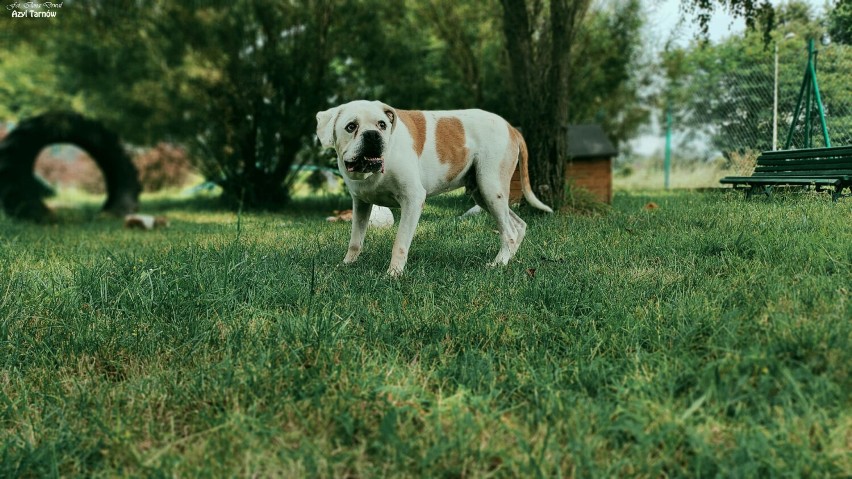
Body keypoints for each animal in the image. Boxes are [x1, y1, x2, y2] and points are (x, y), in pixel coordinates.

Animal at [314, 99, 552, 276]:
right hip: (484, 195)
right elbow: (355, 241)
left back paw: (497, 264)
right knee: (518, 226)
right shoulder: (361, 205)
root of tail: (511, 128)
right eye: (351, 126)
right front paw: (346, 264)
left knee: (509, 232)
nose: (373, 135)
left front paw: (393, 274)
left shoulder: (412, 200)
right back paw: (508, 259)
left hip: (491, 189)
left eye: (382, 125)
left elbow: (400, 242)